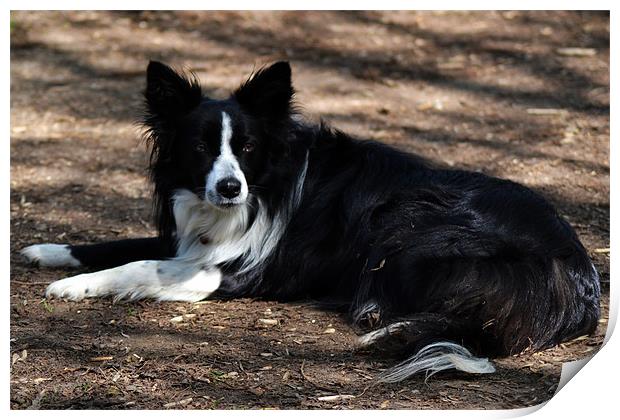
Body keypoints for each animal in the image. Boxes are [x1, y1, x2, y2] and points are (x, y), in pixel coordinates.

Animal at [20, 61, 600, 380]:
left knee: (487, 326)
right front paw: (50, 252)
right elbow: (123, 243)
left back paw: (391, 330)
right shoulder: (193, 242)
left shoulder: (235, 271)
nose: (229, 188)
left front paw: (76, 286)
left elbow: (140, 264)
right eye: (201, 148)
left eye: (247, 148)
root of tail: (578, 269)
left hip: (409, 222)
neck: (264, 188)